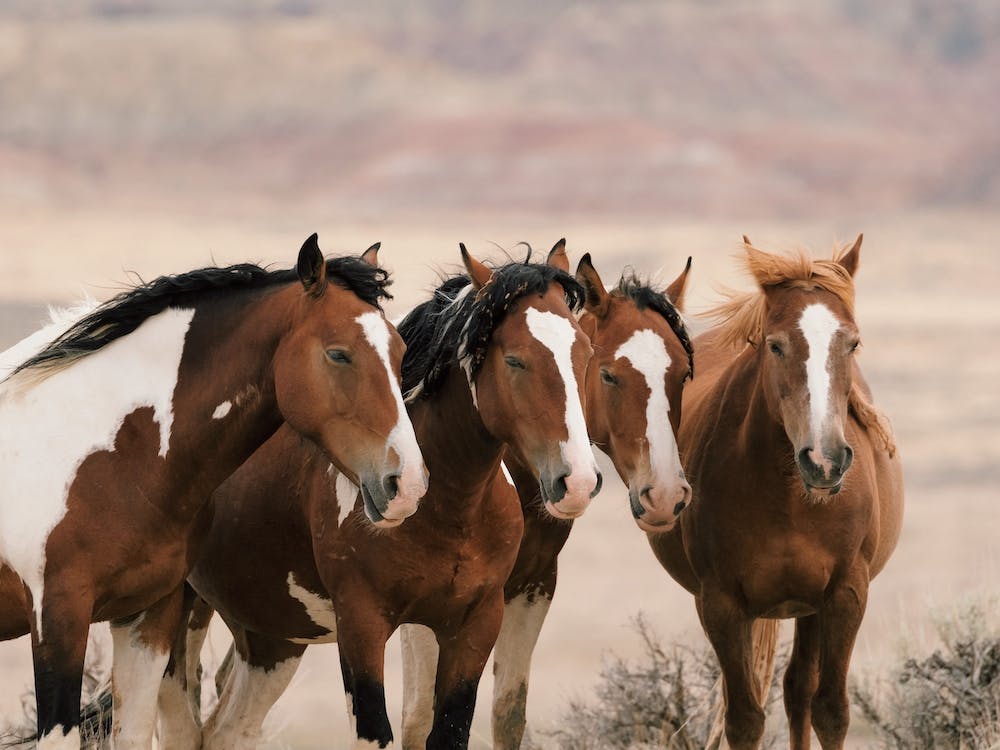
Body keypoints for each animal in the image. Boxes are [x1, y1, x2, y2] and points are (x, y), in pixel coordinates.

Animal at [0, 235, 426, 749]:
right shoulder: (57, 619)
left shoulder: (148, 616)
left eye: (400, 352)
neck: (105, 448)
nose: (407, 484)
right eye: (338, 354)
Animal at [156, 244, 602, 750]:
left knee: (227, 731)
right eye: (515, 360)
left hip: (273, 638)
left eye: (585, 353)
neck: (453, 510)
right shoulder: (363, 626)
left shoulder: (475, 625)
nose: (577, 481)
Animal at [399, 247, 696, 749]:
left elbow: (508, 712)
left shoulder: (532, 587)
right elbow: (418, 720)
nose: (665, 493)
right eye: (609, 373)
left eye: (683, 374)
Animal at [648, 236, 903, 749]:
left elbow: (831, 711)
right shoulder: (722, 604)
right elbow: (743, 719)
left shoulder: (846, 594)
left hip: (810, 607)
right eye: (776, 345)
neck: (790, 502)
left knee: (798, 690)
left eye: (853, 342)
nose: (824, 460)